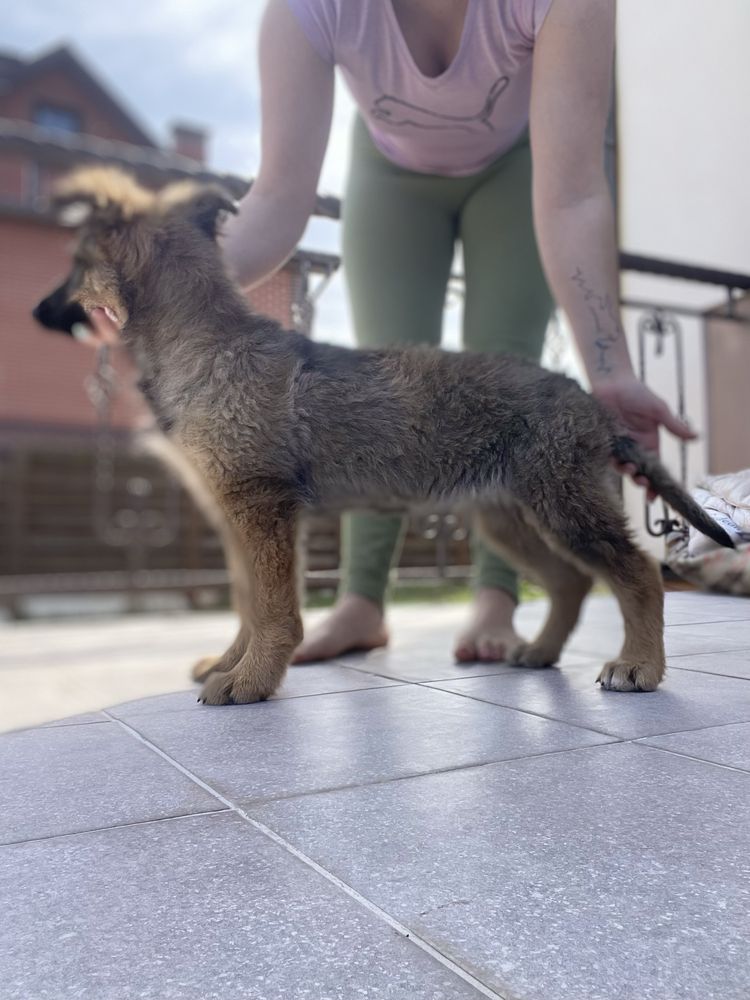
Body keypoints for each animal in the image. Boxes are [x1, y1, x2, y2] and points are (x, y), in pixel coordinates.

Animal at [32, 168, 732, 708]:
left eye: (74, 264)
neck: (203, 343)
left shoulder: (262, 509)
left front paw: (252, 679)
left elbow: (272, 608)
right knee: (570, 583)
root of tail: (587, 401)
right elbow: (249, 602)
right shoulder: (238, 517)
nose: (38, 314)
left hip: (564, 506)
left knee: (638, 572)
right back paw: (538, 650)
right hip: (510, 517)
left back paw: (639, 666)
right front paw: (234, 664)